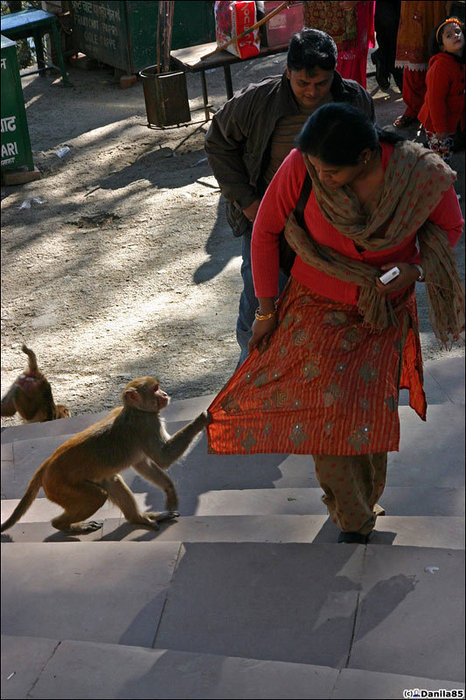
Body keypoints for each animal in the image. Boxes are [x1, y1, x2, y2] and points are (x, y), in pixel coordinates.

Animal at [0, 378, 211, 536]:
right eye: (156, 389)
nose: (165, 394)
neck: (135, 410)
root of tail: (47, 463)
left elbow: (142, 464)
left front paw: (169, 490)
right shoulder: (147, 424)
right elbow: (163, 458)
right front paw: (202, 419)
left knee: (111, 481)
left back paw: (138, 519)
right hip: (59, 485)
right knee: (97, 496)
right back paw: (62, 525)